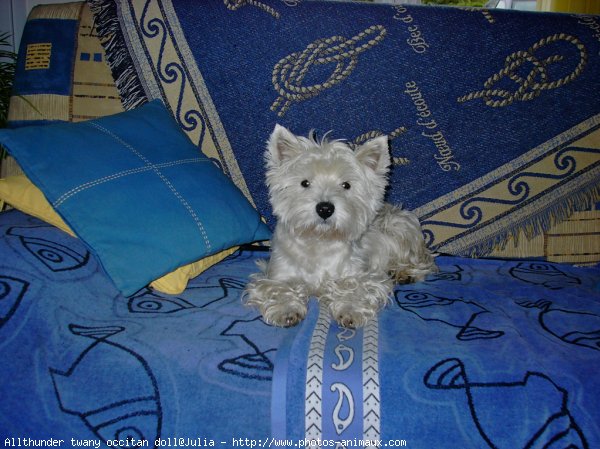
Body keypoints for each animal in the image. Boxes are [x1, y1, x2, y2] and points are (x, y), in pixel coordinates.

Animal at [244, 124, 436, 328]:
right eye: (305, 183)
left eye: (346, 185)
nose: (325, 208)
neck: (319, 240)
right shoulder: (277, 274)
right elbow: (278, 288)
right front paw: (286, 310)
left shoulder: (360, 274)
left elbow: (355, 287)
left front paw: (350, 310)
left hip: (399, 227)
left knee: (421, 259)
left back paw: (404, 272)